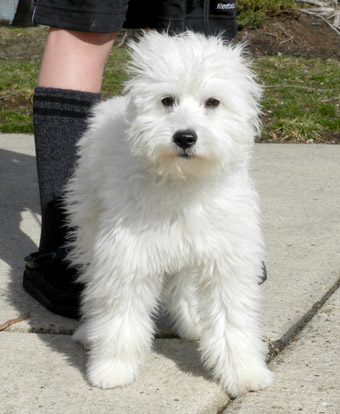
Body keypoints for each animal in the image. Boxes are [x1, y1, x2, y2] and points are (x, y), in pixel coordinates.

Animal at [65, 30, 274, 396]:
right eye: (167, 101)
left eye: (212, 102)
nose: (185, 137)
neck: (183, 182)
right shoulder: (127, 259)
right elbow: (122, 317)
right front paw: (112, 369)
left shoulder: (226, 262)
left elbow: (232, 320)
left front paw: (245, 372)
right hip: (90, 227)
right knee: (94, 286)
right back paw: (89, 331)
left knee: (183, 287)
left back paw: (192, 323)